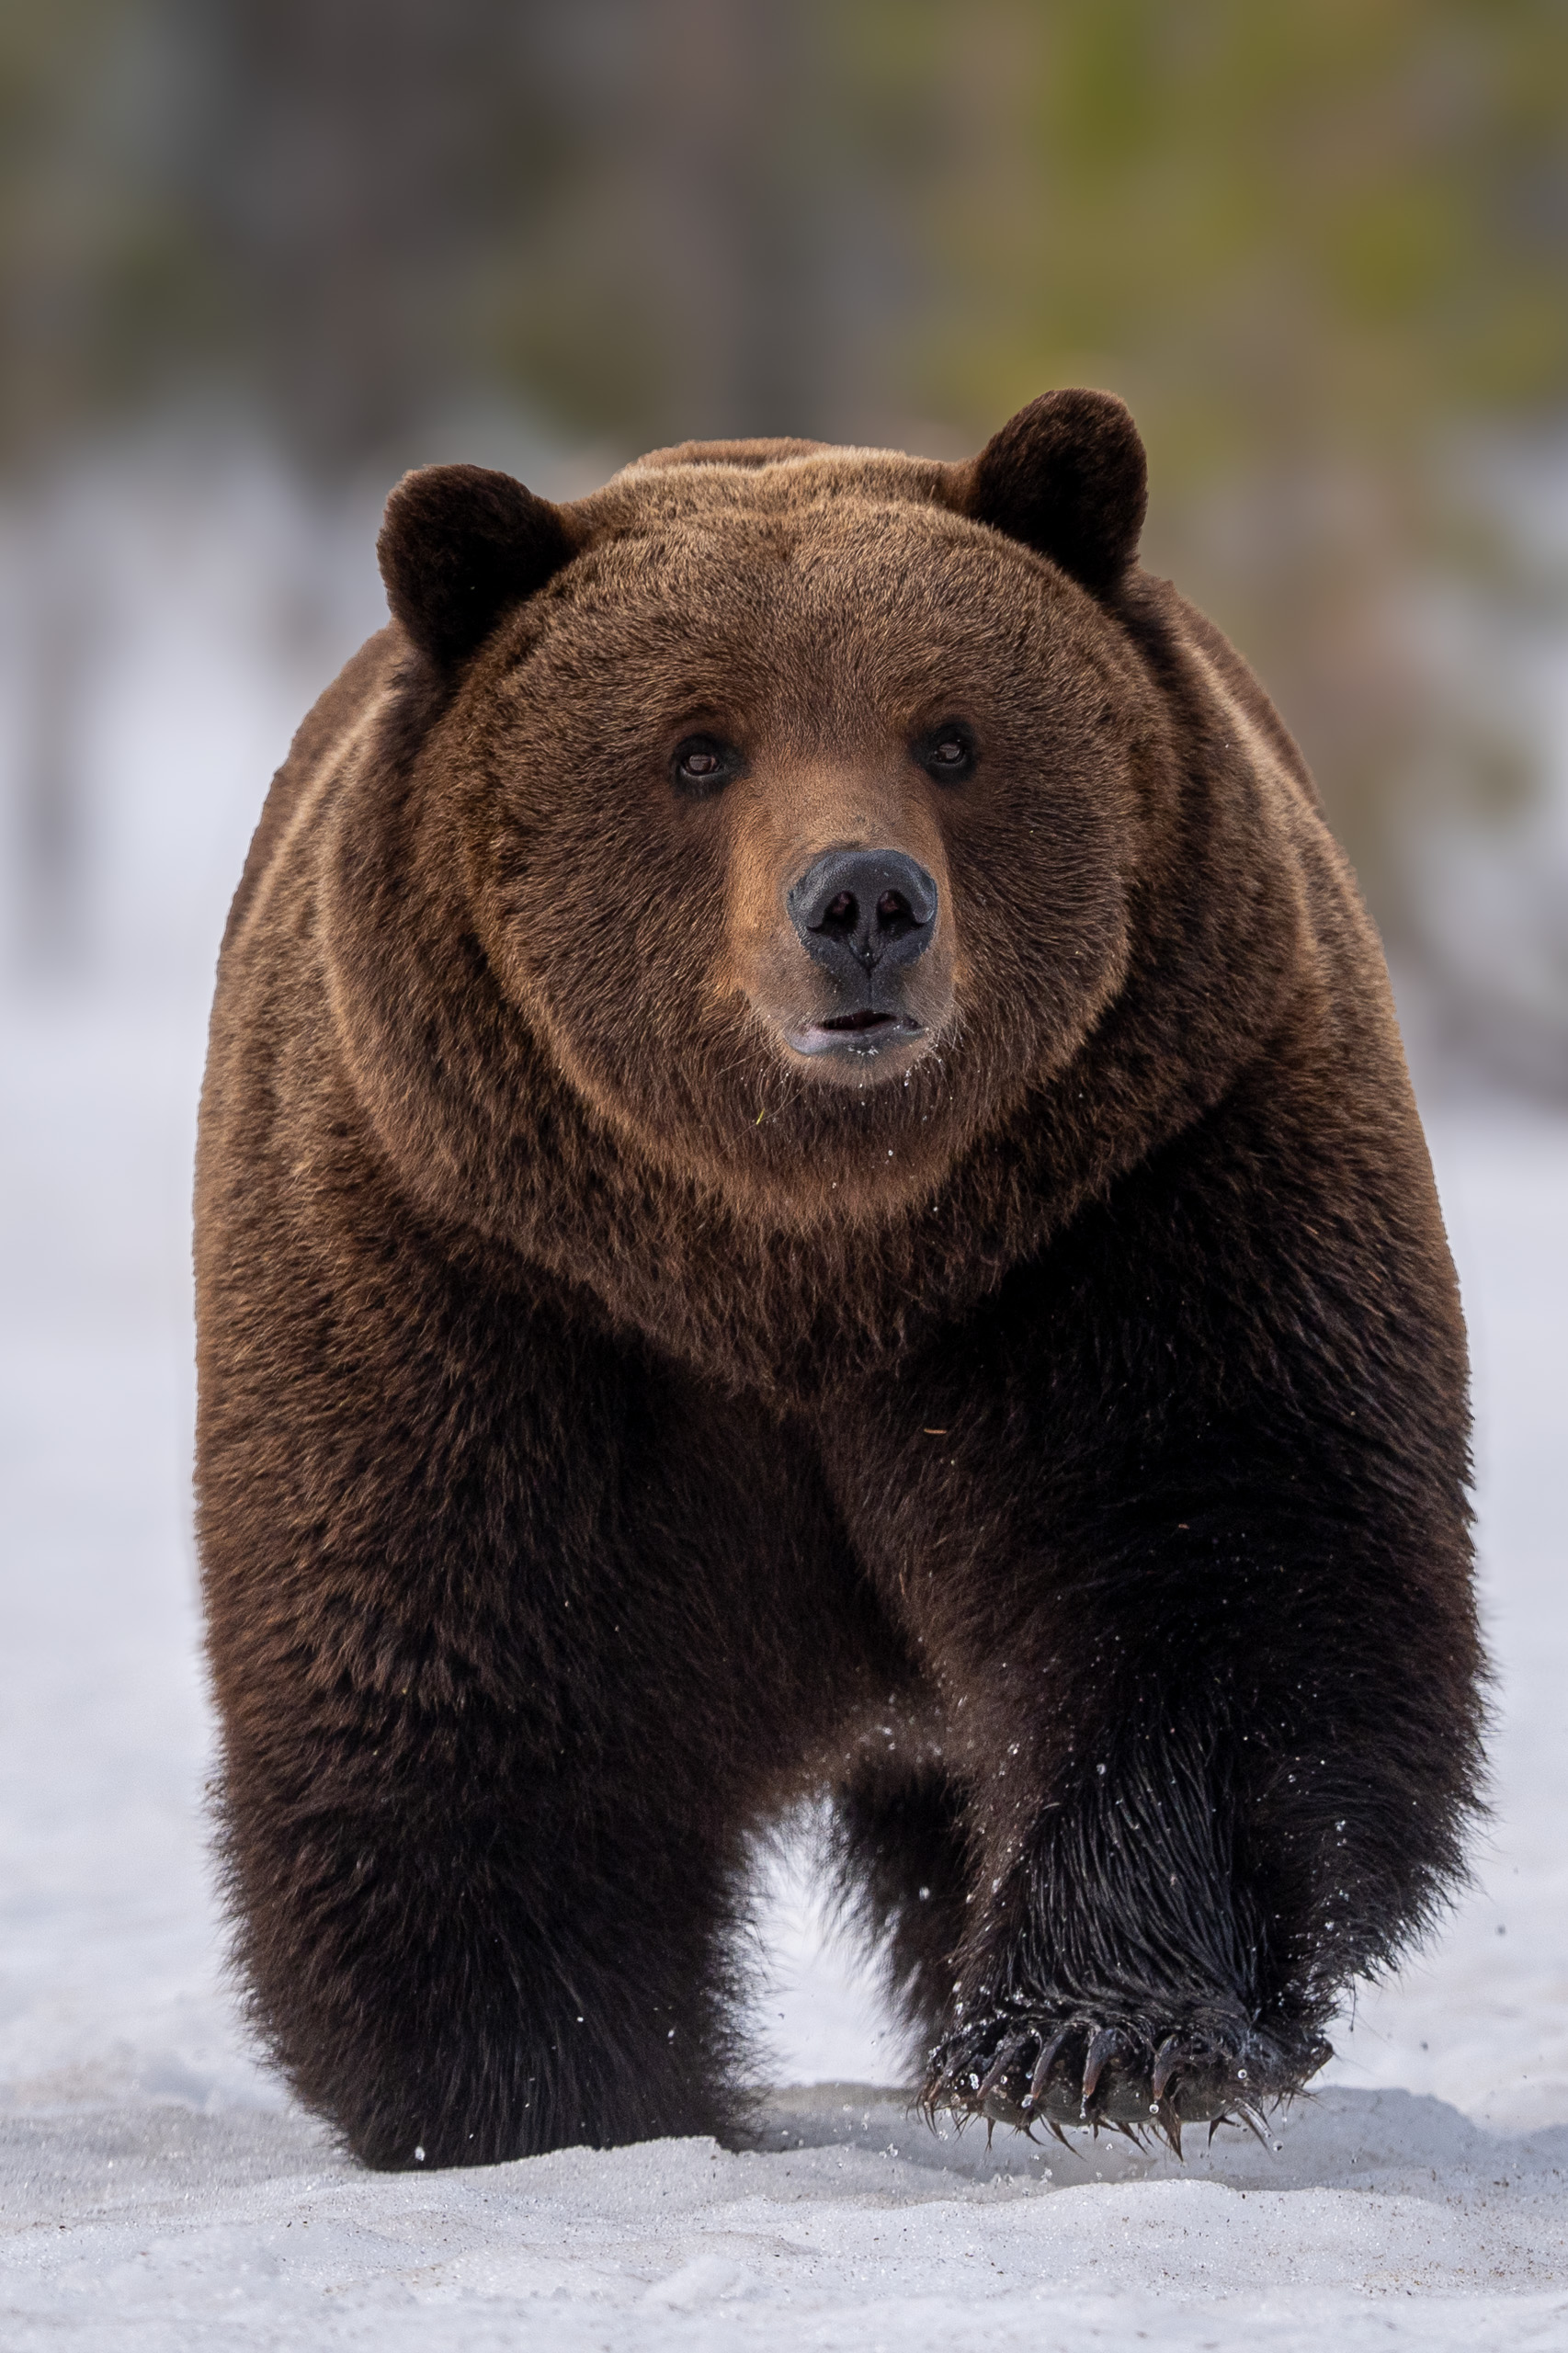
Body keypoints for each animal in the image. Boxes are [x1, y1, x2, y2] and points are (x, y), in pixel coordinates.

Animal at [194, 388, 1483, 2171]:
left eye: (949, 734)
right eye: (695, 748)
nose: (863, 902)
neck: (809, 1249)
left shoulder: (1138, 1199)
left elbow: (1221, 1571)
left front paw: (1094, 2037)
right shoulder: (481, 1272)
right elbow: (472, 1681)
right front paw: (556, 2093)